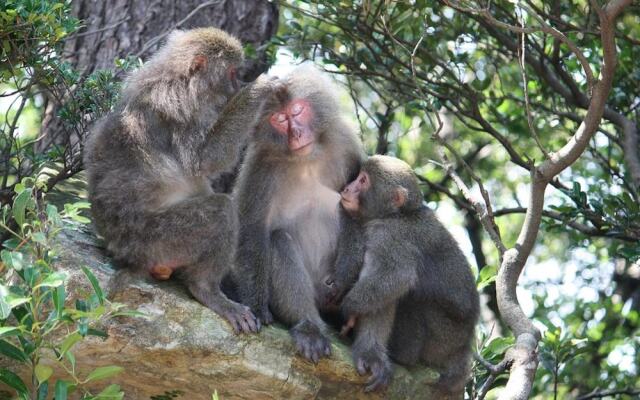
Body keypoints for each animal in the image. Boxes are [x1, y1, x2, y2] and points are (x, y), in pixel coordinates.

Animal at [82, 27, 282, 334]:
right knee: (220, 212)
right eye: (232, 72)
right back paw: (206, 289)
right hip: (158, 240)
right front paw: (259, 90)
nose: (237, 86)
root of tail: (127, 255)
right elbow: (204, 160)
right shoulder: (184, 108)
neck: (180, 78)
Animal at [234, 67, 364, 364]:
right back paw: (309, 328)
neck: (306, 161)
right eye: (280, 119)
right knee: (278, 240)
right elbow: (253, 230)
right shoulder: (261, 167)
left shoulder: (344, 142)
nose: (297, 134)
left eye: (297, 110)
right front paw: (256, 308)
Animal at [324, 155, 480, 396]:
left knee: (410, 296)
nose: (347, 188)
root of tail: (464, 346)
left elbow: (397, 276)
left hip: (443, 338)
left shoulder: (390, 235)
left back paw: (401, 355)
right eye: (357, 177)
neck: (398, 214)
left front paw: (348, 308)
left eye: (363, 180)